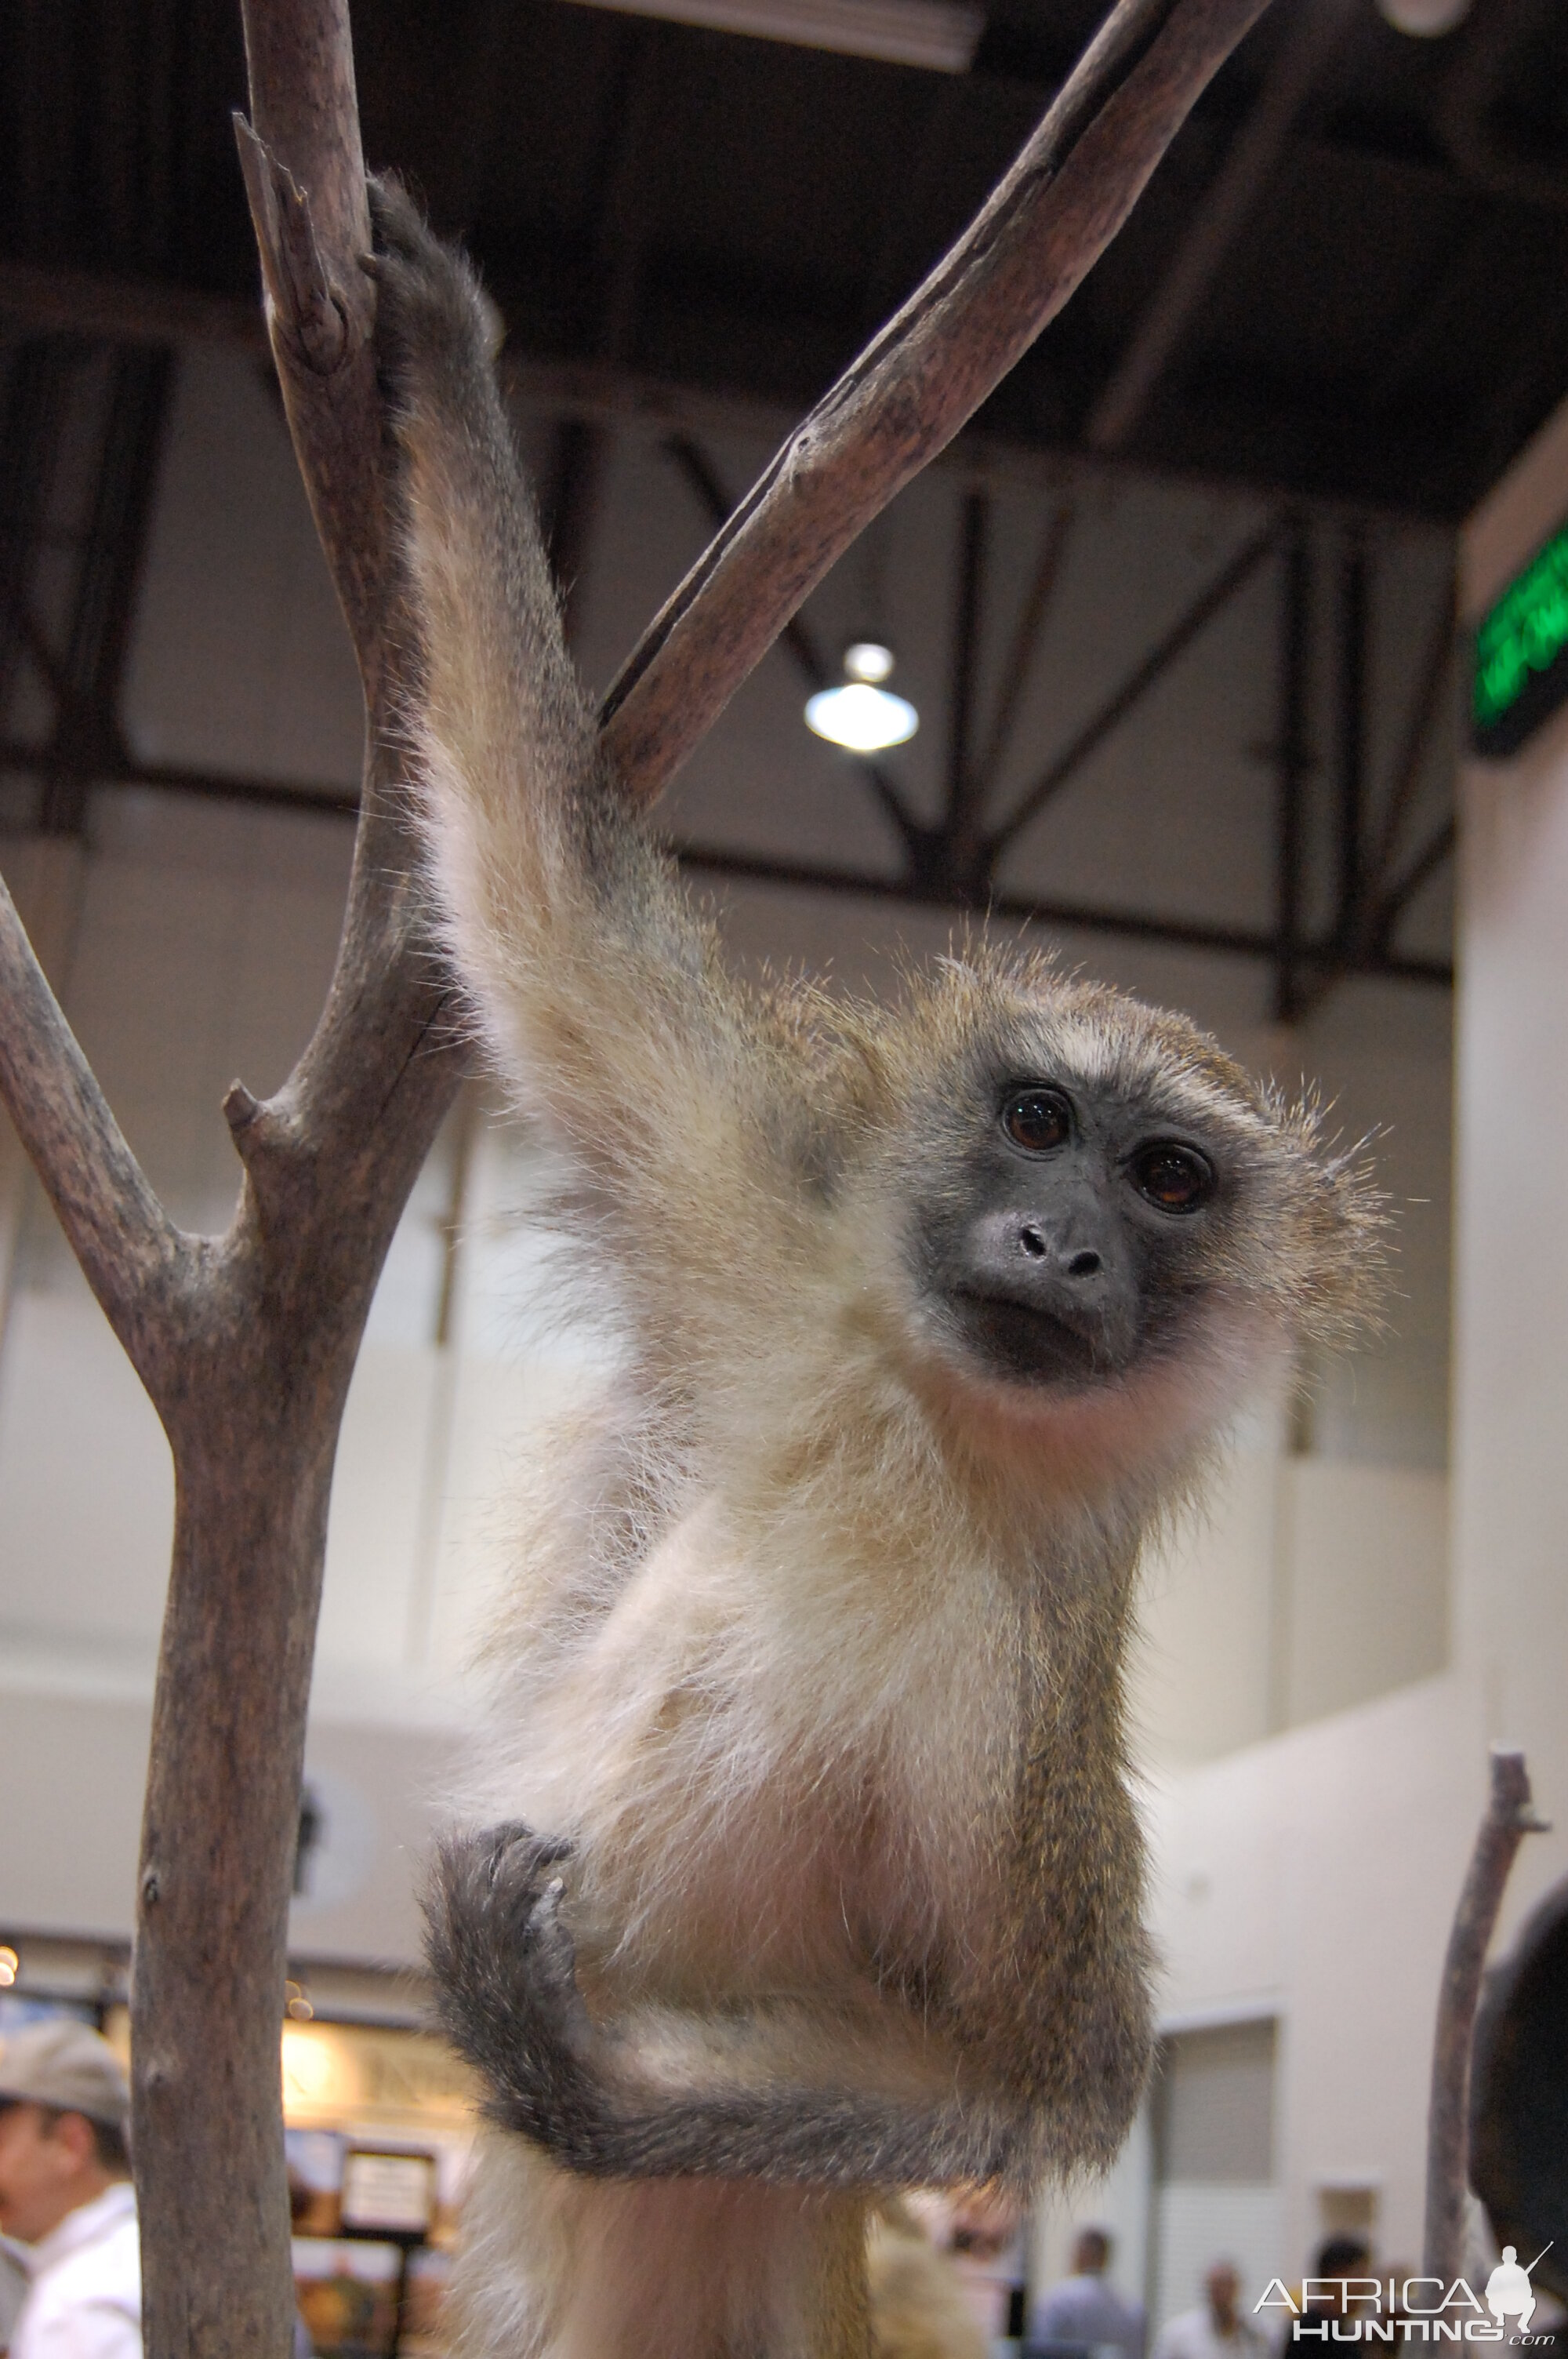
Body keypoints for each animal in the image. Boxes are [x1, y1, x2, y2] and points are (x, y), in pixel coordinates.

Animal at [370, 188, 1386, 2359]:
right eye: (1036, 1121)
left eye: (1166, 1179)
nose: (1059, 1239)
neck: (933, 1446)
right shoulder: (772, 1260)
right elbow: (542, 901)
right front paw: (436, 335)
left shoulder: (1028, 1731)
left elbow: (1049, 2078)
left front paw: (587, 2074)